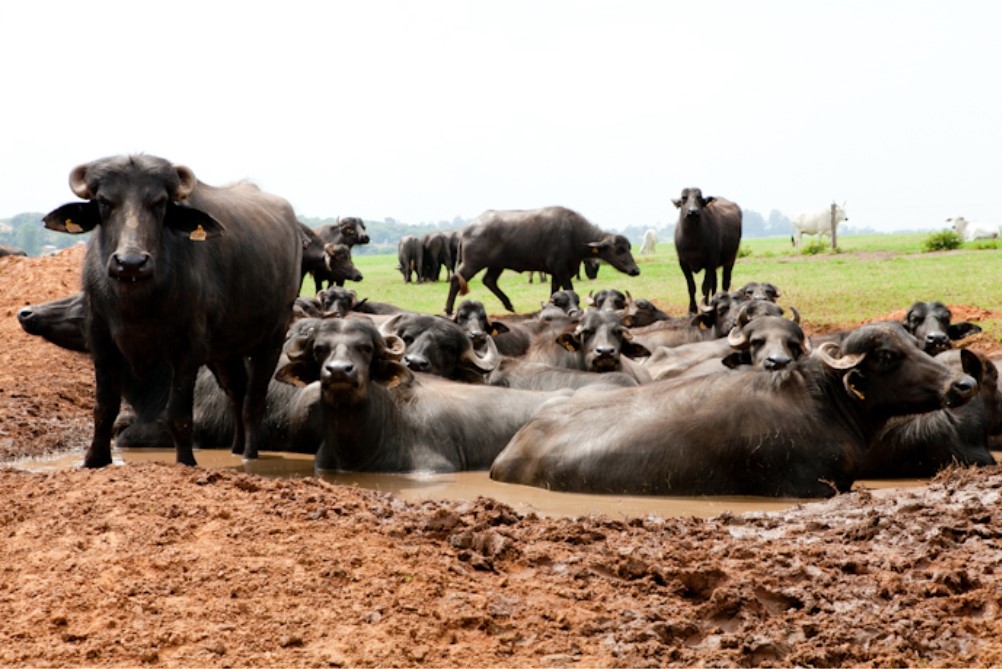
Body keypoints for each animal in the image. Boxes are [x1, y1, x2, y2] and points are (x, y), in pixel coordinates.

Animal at [43, 155, 300, 470]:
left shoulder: (188, 349)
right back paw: (236, 448)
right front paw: (95, 460)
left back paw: (250, 455)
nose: (131, 262)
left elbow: (178, 413)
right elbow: (104, 407)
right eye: (104, 201)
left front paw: (186, 461)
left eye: (159, 202)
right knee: (236, 394)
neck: (137, 300)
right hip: (225, 352)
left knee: (254, 400)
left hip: (272, 337)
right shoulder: (101, 339)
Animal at [444, 206, 637, 316]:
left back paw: (509, 304)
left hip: (496, 264)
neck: (574, 235)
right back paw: (448, 309)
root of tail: (466, 230)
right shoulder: (561, 269)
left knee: (488, 280)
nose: (635, 270)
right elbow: (569, 288)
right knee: (456, 279)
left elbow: (554, 292)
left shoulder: (556, 272)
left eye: (629, 247)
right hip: (473, 263)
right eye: (619, 250)